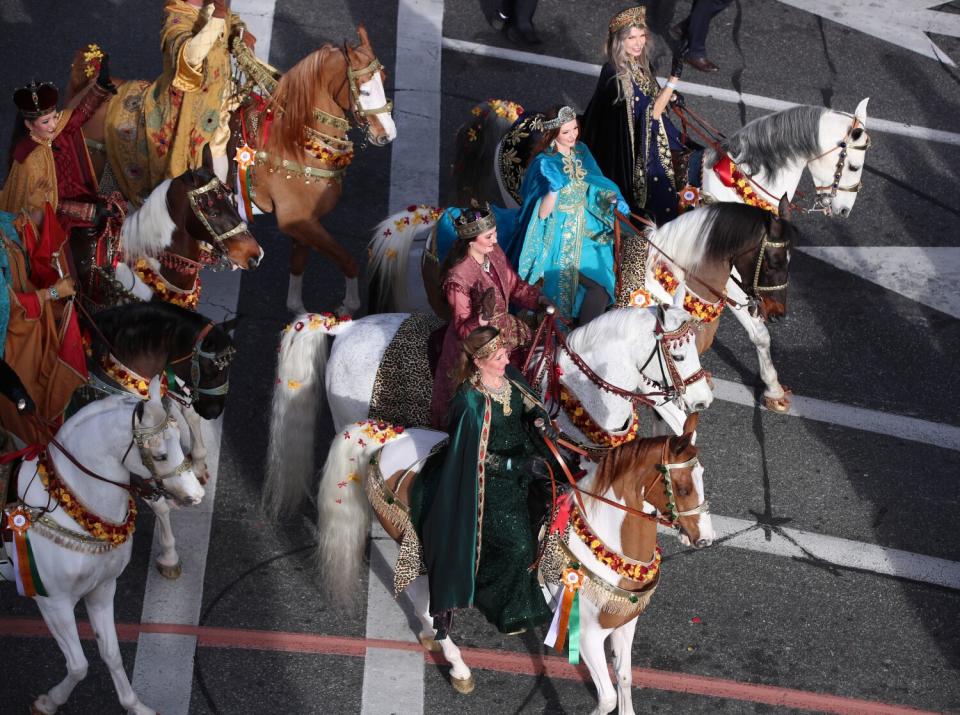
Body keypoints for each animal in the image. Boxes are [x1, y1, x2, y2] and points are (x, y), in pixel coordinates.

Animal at [1, 378, 204, 712]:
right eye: (161, 454)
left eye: (180, 438)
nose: (197, 495)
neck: (69, 508)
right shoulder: (53, 602)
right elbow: (79, 665)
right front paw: (48, 703)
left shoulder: (102, 588)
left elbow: (111, 653)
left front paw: (135, 705)